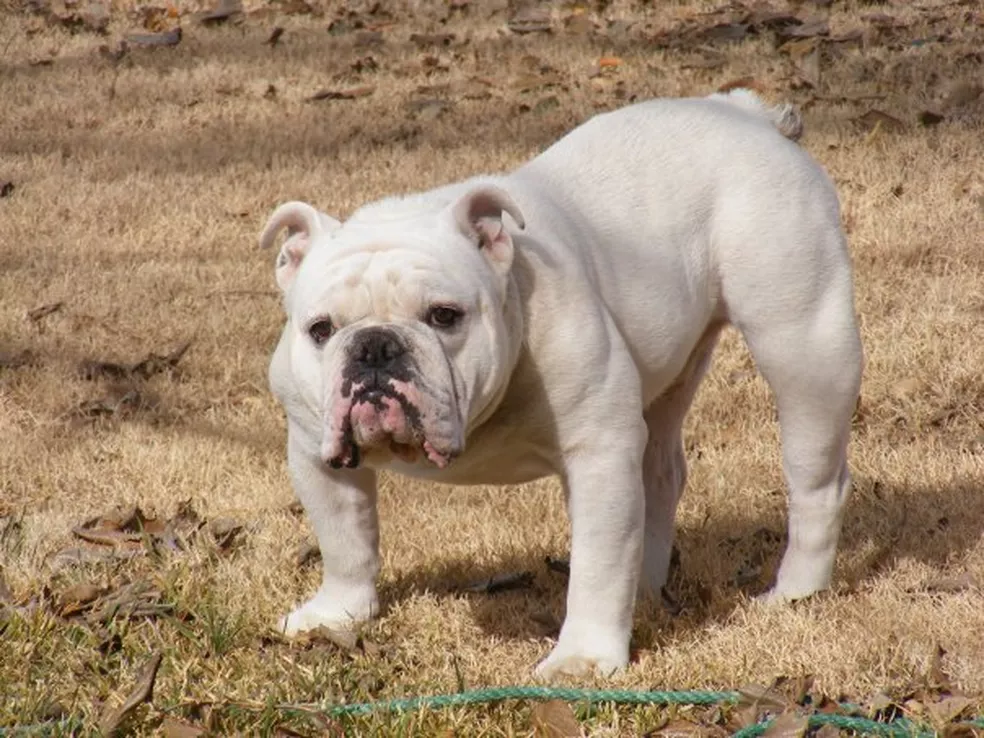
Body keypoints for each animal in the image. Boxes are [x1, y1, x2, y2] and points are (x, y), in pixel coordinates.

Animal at [260, 89, 860, 676]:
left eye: (444, 316)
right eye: (320, 329)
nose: (375, 348)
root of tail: (743, 111)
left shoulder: (598, 455)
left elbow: (597, 565)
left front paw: (583, 658)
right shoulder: (314, 453)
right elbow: (344, 538)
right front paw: (337, 613)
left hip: (805, 346)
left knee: (816, 483)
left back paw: (795, 591)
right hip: (668, 375)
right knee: (660, 475)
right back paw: (647, 589)